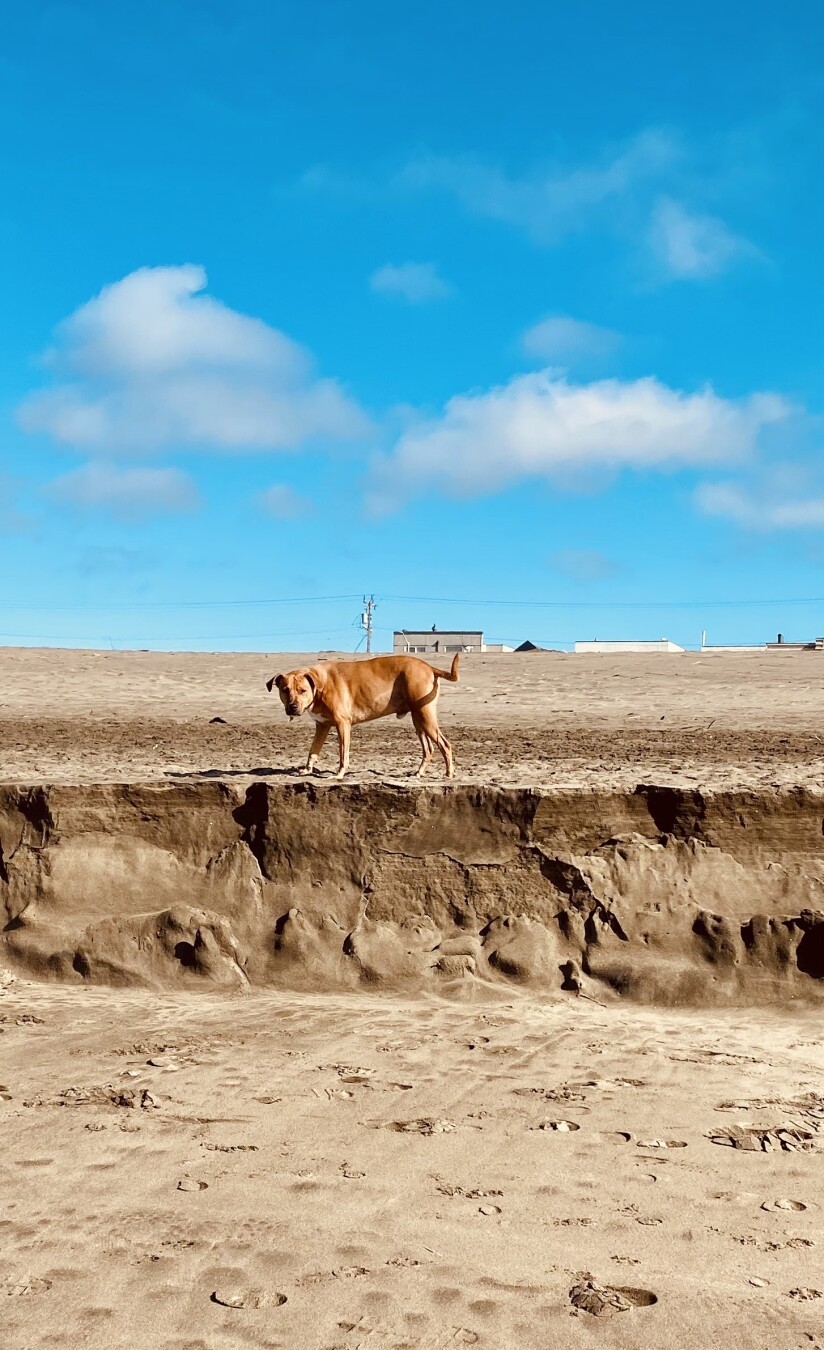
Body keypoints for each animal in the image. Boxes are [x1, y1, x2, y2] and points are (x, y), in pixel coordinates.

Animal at [266, 653, 459, 783]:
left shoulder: (342, 724)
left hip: (425, 717)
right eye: (285, 690)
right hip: (418, 719)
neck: (319, 685)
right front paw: (307, 770)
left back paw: (449, 773)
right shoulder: (322, 726)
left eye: (302, 690)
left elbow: (343, 753)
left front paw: (339, 774)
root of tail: (428, 667)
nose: (292, 707)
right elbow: (313, 751)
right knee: (429, 749)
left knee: (445, 745)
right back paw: (419, 772)